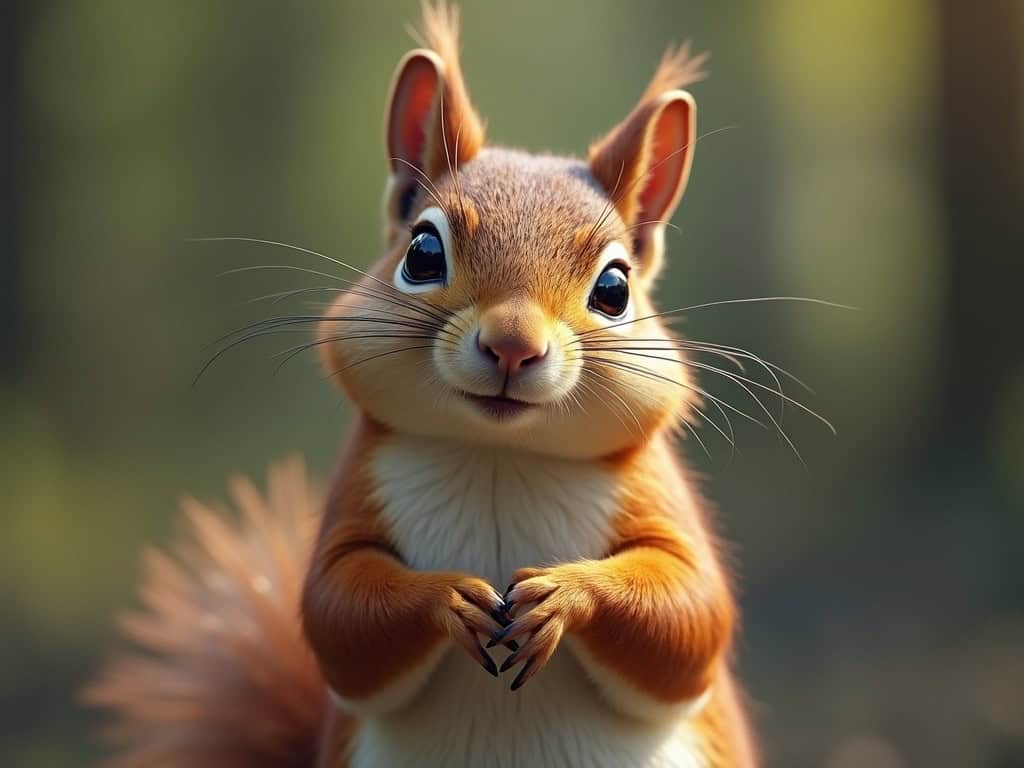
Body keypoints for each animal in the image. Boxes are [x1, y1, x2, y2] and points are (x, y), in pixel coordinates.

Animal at [87, 3, 758, 767]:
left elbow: (690, 610)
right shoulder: (358, 491)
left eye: (615, 289)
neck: (499, 454)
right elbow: (338, 612)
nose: (512, 345)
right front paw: (448, 599)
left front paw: (564, 593)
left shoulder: (655, 496)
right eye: (422, 251)